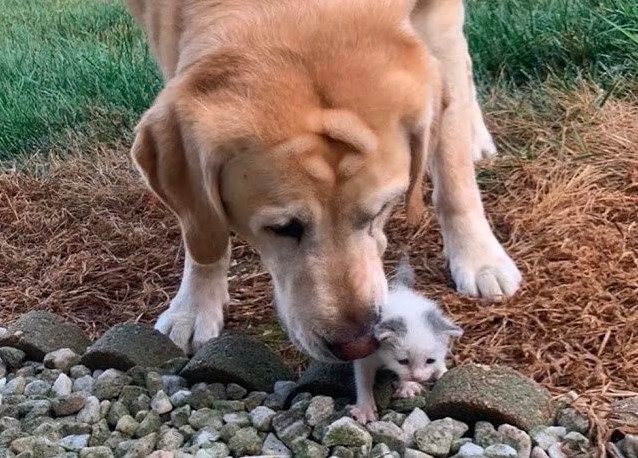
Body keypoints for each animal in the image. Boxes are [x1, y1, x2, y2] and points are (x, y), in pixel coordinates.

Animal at [127, 0, 524, 362]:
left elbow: (454, 173)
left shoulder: (437, 18)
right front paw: (194, 305)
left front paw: (479, 257)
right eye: (282, 228)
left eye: (381, 209)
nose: (358, 345)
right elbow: (200, 226)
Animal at [350, 256, 464, 424]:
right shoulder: (367, 351)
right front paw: (365, 408)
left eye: (430, 360)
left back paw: (441, 371)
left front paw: (407, 386)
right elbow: (363, 378)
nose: (417, 377)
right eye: (403, 361)